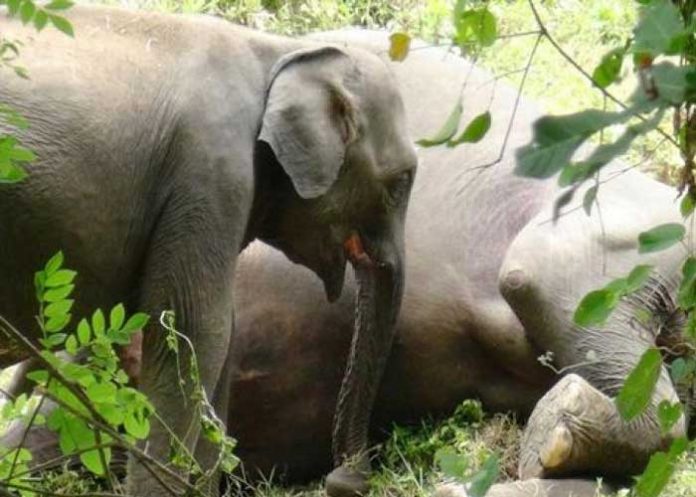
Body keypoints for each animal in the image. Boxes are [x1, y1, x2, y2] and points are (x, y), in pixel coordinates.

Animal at [0, 6, 416, 497]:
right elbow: (195, 327)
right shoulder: (209, 171)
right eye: (402, 180)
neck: (282, 49)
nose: (343, 480)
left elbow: (223, 335)